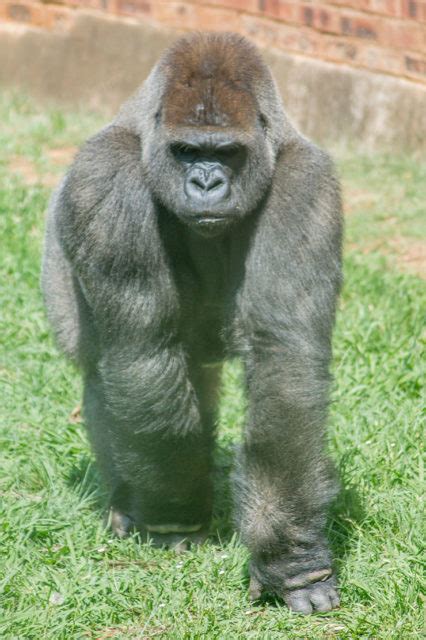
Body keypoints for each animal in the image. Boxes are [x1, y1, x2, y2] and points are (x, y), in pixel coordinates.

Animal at [41, 31, 342, 616]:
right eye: (186, 152)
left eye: (225, 152)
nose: (205, 182)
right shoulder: (104, 179)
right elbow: (143, 352)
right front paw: (173, 515)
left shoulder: (306, 186)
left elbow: (285, 363)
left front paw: (289, 561)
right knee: (110, 372)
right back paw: (129, 500)